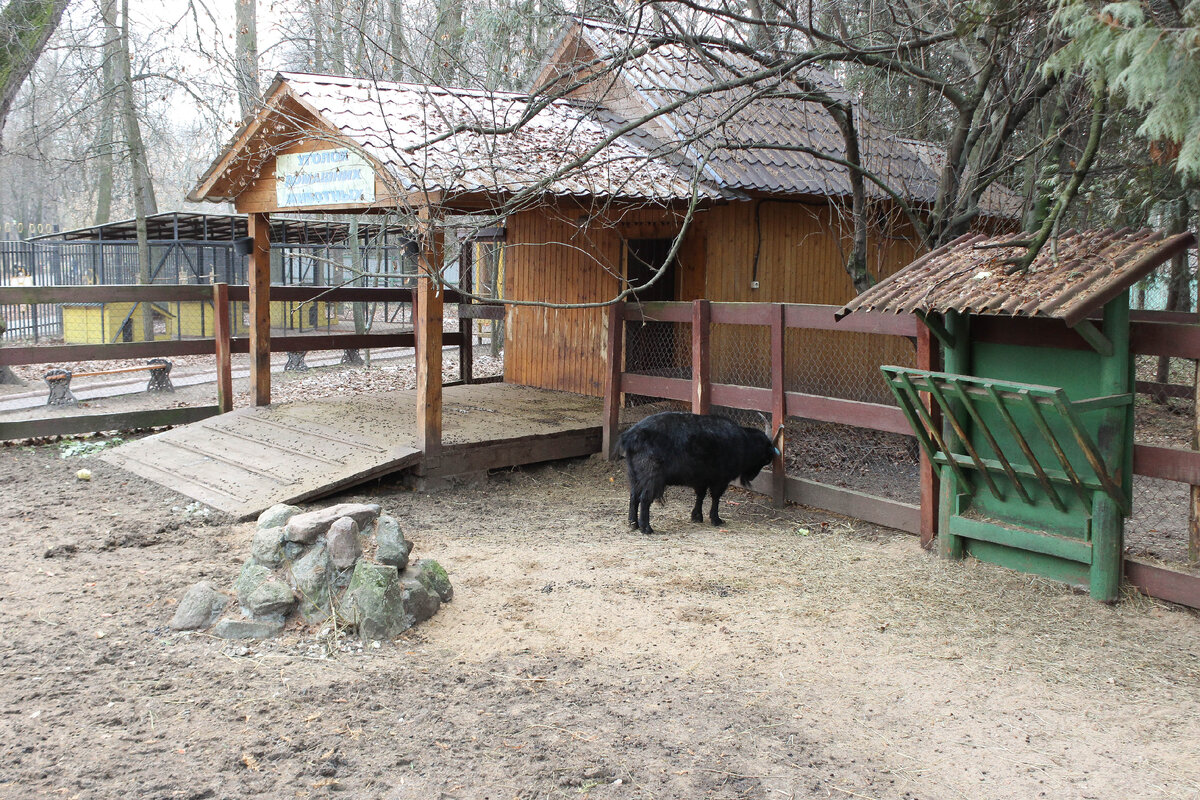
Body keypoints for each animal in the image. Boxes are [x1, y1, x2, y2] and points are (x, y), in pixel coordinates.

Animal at [614, 412, 782, 537]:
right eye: (766, 458)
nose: (752, 477)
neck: (743, 441)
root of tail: (630, 436)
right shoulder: (720, 479)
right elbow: (715, 497)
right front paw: (716, 519)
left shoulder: (701, 479)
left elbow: (700, 496)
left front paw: (696, 516)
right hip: (651, 476)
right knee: (645, 498)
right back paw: (646, 528)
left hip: (635, 475)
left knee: (634, 497)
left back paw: (633, 524)